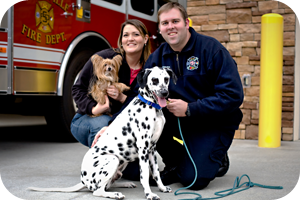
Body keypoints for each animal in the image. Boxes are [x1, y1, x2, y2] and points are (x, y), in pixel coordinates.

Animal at [27, 67, 177, 200]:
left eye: (166, 79)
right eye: (155, 80)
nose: (165, 93)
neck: (151, 106)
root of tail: (83, 180)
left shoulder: (152, 149)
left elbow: (156, 173)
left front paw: (162, 188)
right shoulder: (144, 150)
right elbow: (145, 175)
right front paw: (149, 194)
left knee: (107, 186)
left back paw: (125, 184)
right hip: (113, 159)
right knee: (98, 191)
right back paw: (115, 195)